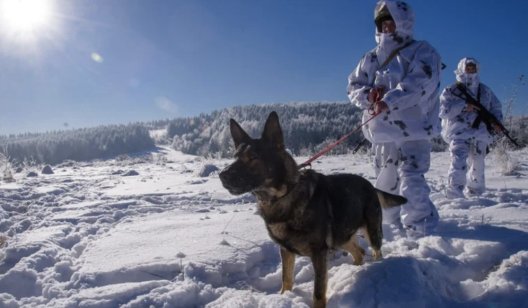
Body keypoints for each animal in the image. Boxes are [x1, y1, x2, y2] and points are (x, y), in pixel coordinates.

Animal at [219, 112, 404, 306]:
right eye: (235, 156)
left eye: (253, 157)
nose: (222, 175)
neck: (283, 195)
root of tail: (370, 185)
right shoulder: (286, 251)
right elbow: (286, 279)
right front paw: (284, 297)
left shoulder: (319, 253)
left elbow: (318, 291)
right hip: (341, 236)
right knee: (359, 252)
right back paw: (352, 272)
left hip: (371, 232)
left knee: (376, 251)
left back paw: (377, 268)